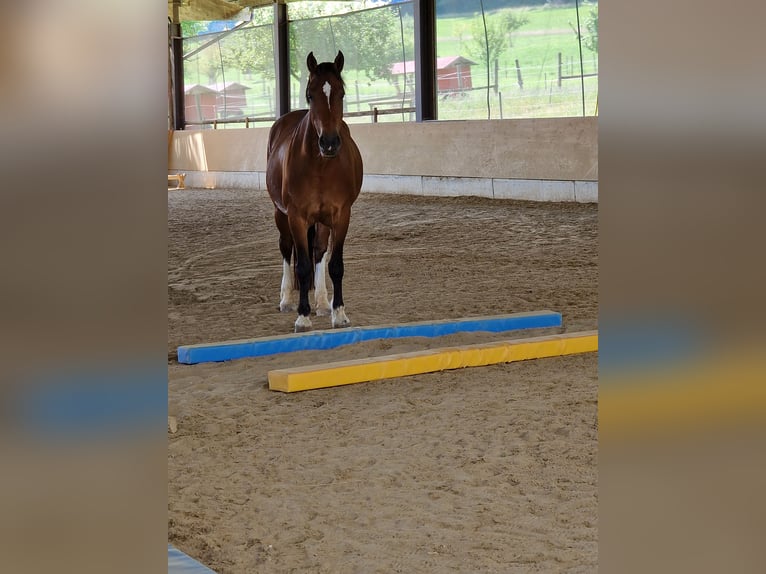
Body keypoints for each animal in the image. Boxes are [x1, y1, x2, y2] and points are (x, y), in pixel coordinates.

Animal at [266, 52, 364, 336]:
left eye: (341, 93)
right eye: (310, 95)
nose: (329, 143)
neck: (321, 165)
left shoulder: (341, 216)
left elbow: (335, 264)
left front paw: (338, 313)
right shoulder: (297, 217)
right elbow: (302, 266)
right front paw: (302, 317)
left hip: (321, 221)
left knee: (319, 252)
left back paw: (321, 302)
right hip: (280, 214)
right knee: (286, 248)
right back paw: (287, 299)